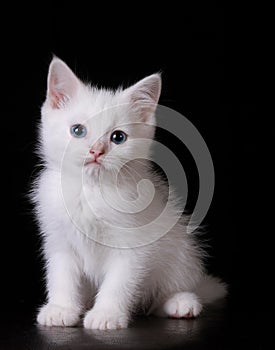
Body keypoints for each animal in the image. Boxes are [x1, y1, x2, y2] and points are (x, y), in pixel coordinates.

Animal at [31, 58, 226, 330]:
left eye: (118, 137)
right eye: (78, 130)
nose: (96, 151)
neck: (91, 192)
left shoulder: (134, 244)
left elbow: (119, 282)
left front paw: (106, 314)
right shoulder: (59, 239)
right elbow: (61, 275)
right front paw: (61, 309)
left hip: (181, 249)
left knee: (167, 290)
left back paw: (180, 301)